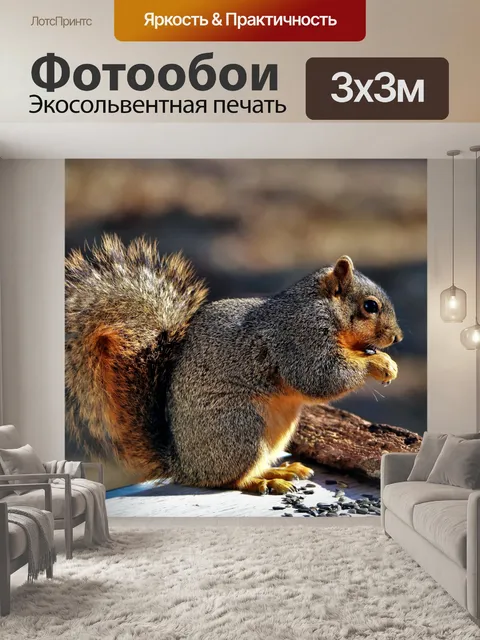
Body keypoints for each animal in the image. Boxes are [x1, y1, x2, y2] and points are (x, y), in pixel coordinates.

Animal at [65, 234, 403, 495]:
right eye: (370, 306)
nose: (397, 337)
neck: (321, 307)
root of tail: (184, 466)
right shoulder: (299, 338)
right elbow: (321, 376)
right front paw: (379, 364)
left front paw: (387, 361)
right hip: (240, 428)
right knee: (228, 480)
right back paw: (261, 482)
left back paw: (278, 471)